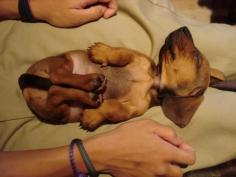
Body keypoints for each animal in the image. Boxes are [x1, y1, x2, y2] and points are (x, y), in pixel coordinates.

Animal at [18, 27, 225, 131]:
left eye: (196, 58)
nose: (184, 28)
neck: (152, 81)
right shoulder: (134, 57)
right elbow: (118, 54)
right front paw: (101, 51)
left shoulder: (131, 109)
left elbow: (112, 108)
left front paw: (93, 116)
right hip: (65, 63)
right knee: (58, 79)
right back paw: (91, 83)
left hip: (59, 110)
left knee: (56, 88)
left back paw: (91, 89)